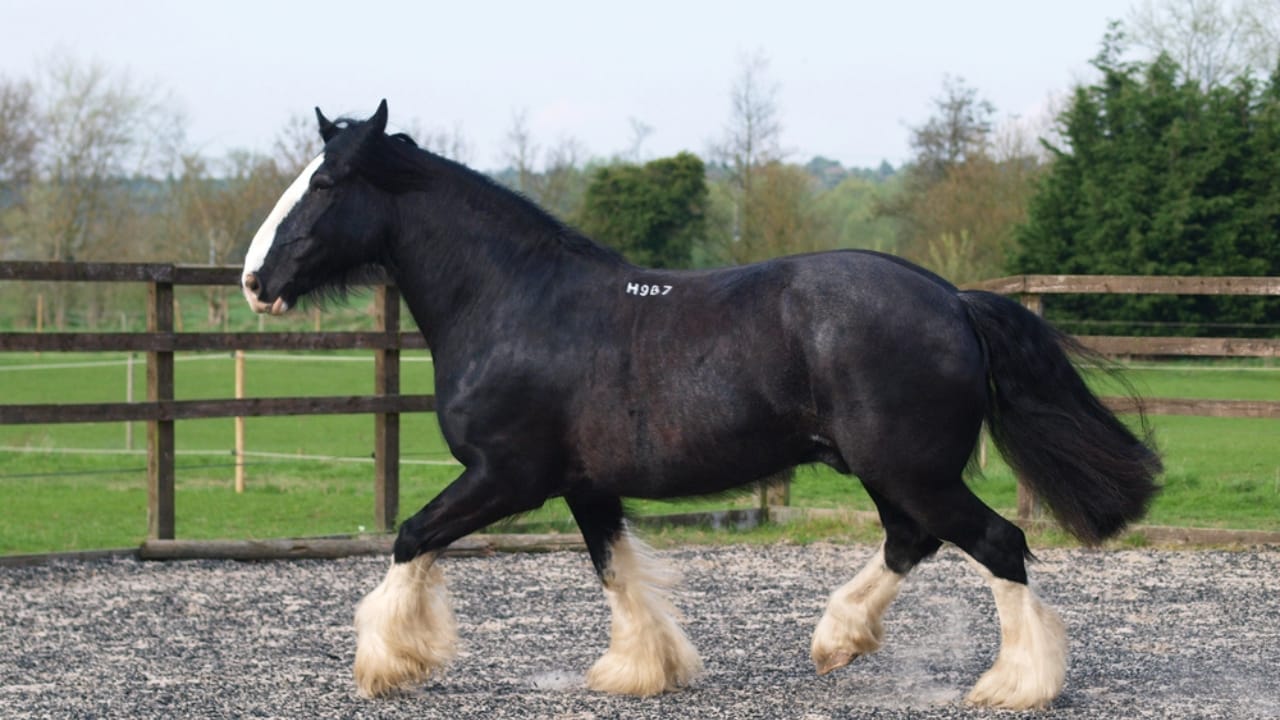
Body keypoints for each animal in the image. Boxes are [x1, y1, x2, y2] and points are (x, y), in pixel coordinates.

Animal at [241, 100, 1161, 710]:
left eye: (328, 182)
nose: (255, 281)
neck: (516, 304)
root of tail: (952, 299)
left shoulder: (506, 478)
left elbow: (410, 537)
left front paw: (386, 664)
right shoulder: (583, 486)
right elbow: (615, 570)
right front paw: (640, 671)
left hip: (911, 469)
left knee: (997, 544)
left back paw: (1014, 684)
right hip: (892, 471)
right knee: (913, 541)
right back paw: (837, 641)